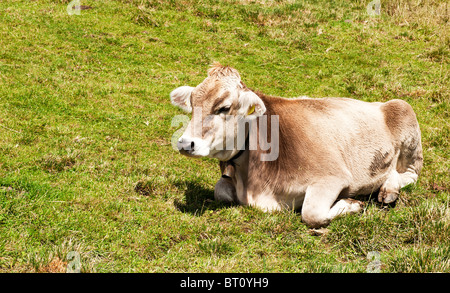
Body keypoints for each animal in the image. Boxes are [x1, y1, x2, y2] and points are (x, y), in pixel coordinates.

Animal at [171, 63, 424, 228]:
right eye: (192, 104)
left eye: (223, 108)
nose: (185, 143)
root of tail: (379, 103)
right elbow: (220, 190)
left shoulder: (333, 177)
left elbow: (311, 214)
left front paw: (352, 204)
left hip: (405, 115)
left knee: (408, 174)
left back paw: (389, 189)